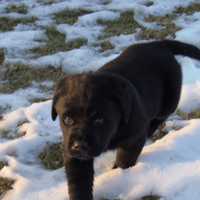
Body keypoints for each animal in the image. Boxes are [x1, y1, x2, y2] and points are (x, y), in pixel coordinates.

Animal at [51, 39, 200, 199]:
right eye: (67, 119)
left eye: (99, 120)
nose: (79, 145)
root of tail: (159, 44)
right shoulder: (74, 152)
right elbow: (78, 182)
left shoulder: (133, 139)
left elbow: (125, 159)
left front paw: (120, 174)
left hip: (169, 101)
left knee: (160, 116)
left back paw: (150, 128)